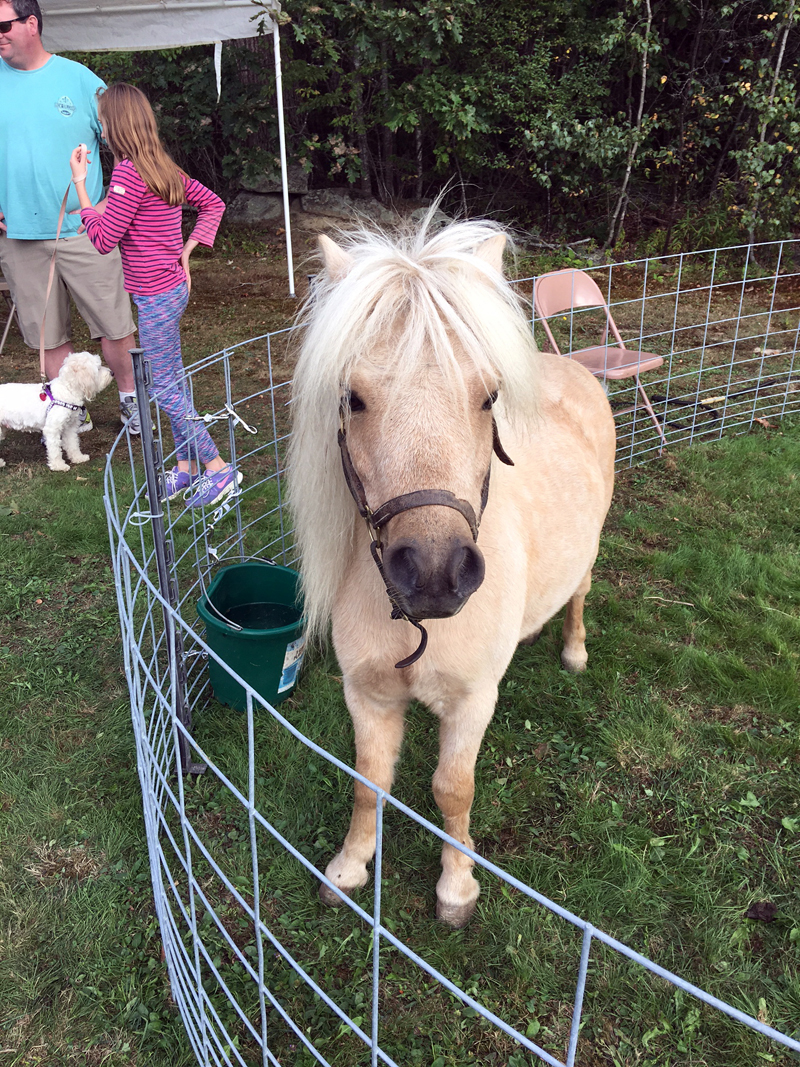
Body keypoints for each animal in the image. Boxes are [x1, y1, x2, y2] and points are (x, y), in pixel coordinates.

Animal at [292, 216, 618, 926]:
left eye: (489, 396)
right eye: (352, 398)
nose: (435, 573)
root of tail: (573, 365)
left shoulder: (471, 703)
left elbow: (452, 790)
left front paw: (456, 886)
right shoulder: (367, 695)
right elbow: (369, 782)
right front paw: (350, 867)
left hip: (589, 555)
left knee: (580, 597)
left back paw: (575, 652)